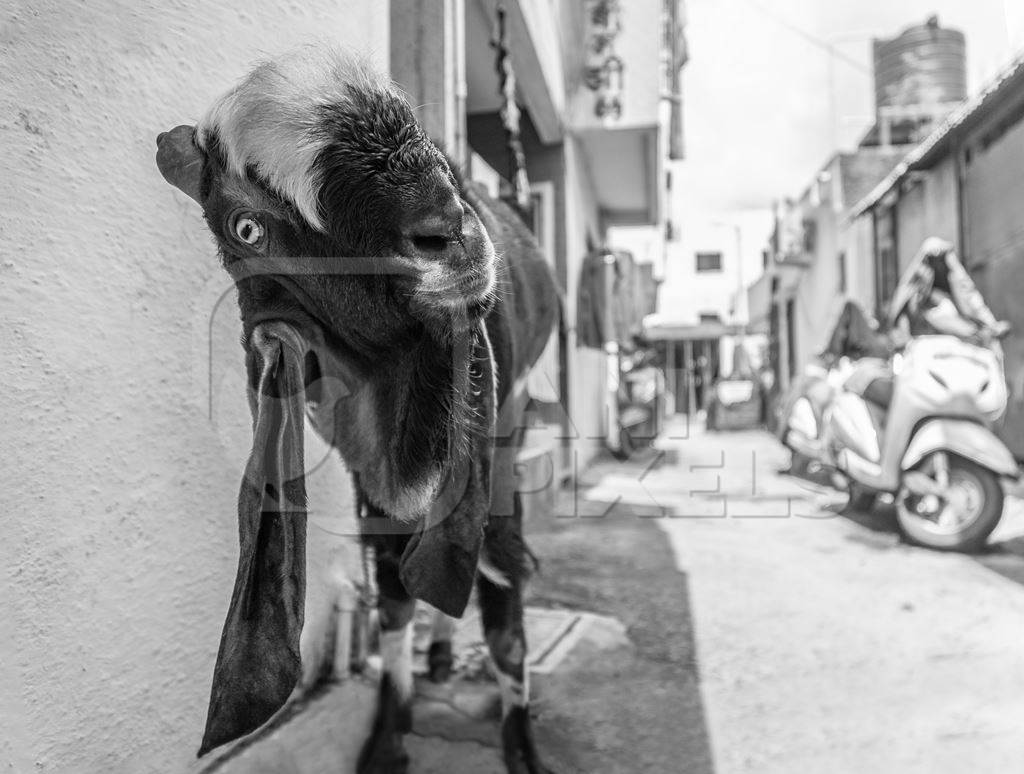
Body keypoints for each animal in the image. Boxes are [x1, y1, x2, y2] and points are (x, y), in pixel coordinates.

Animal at [153, 49, 561, 774]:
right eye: (247, 227)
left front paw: (522, 747)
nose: (450, 229)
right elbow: (394, 594)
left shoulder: (493, 453)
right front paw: (387, 734)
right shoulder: (362, 473)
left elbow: (504, 609)